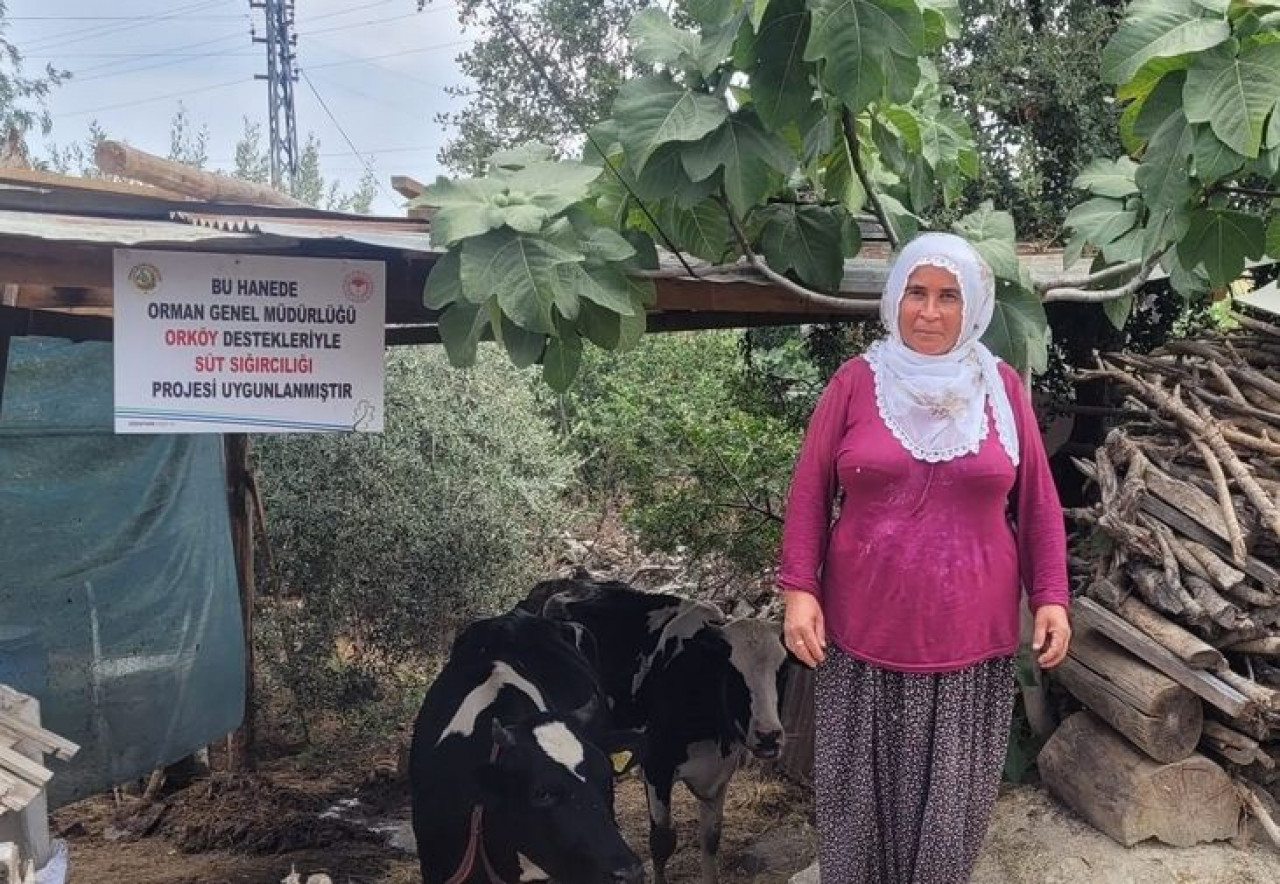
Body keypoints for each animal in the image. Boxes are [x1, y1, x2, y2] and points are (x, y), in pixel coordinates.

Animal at [522, 578, 783, 884]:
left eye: (781, 669)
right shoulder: (657, 766)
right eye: (732, 672)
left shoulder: (720, 772)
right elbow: (662, 841)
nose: (769, 736)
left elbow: (711, 838)